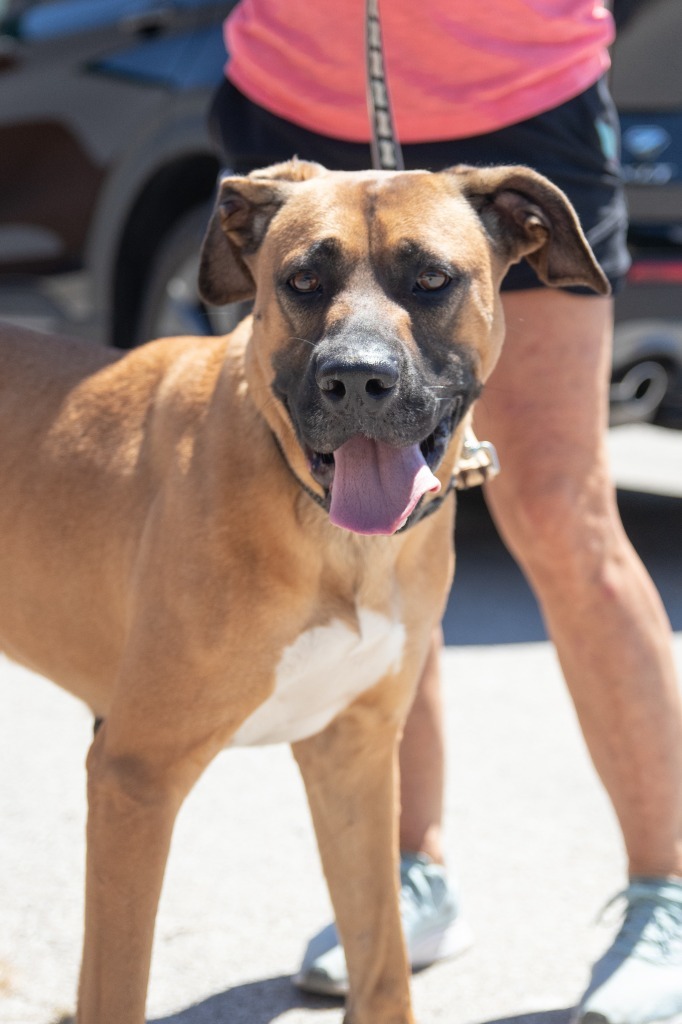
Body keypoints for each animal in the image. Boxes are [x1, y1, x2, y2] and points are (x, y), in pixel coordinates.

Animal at [0, 159, 606, 1024]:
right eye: (302, 280)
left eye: (432, 279)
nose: (356, 379)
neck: (331, 537)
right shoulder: (134, 779)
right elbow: (117, 984)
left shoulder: (354, 753)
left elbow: (382, 957)